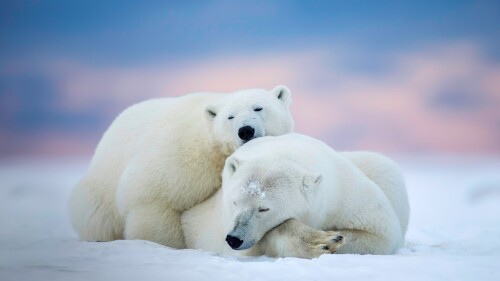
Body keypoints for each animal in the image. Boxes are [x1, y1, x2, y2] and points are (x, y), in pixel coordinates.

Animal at [67, 86, 292, 247]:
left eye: (258, 107)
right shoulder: (179, 157)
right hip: (99, 193)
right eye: (230, 116)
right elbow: (154, 199)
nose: (245, 130)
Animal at [182, 132, 408, 258]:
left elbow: (380, 233)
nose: (234, 238)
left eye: (263, 208)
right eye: (235, 202)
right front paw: (321, 241)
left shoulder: (345, 193)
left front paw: (333, 238)